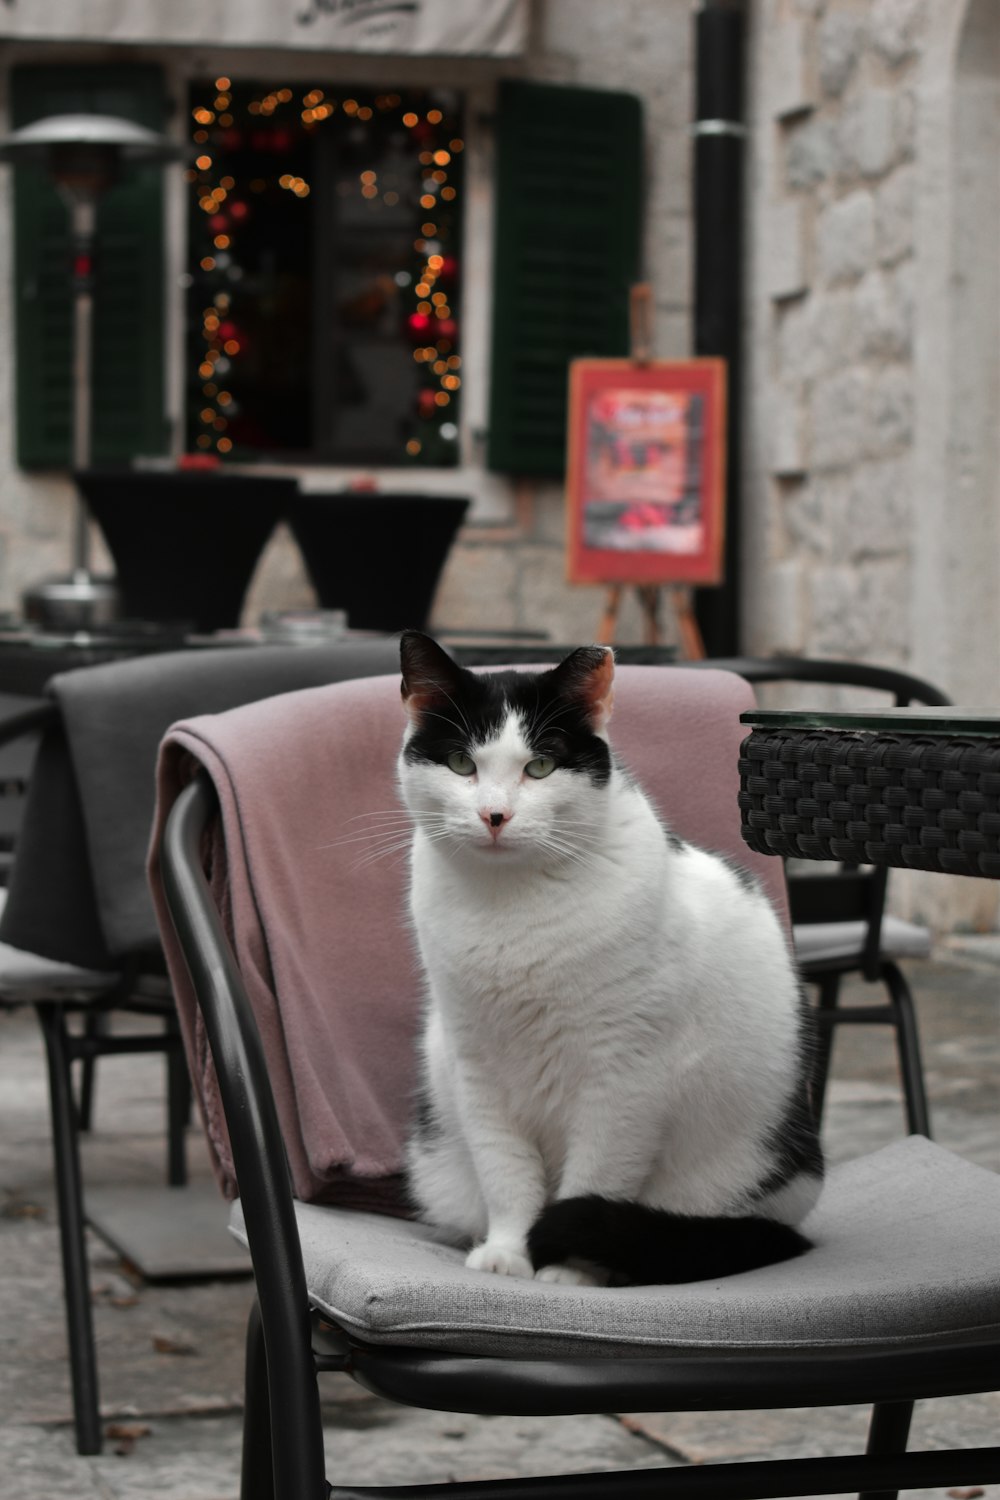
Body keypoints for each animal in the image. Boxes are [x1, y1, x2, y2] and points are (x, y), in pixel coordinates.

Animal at [395, 633, 827, 1290]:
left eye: (540, 766)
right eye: (461, 764)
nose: (495, 816)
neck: (512, 907)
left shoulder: (624, 1078)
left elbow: (595, 1178)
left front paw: (569, 1272)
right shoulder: (478, 1070)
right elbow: (506, 1175)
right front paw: (508, 1252)